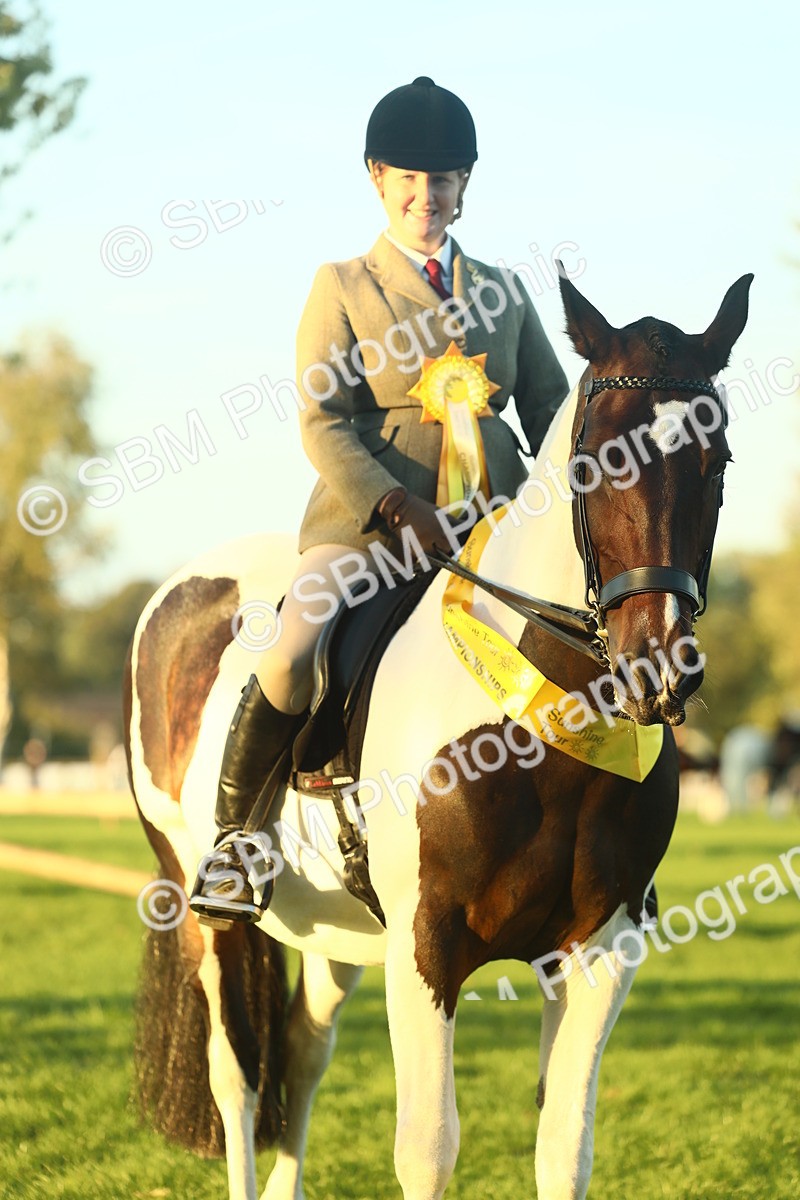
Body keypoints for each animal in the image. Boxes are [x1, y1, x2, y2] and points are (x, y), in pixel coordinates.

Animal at [125, 267, 752, 1200]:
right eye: (596, 463)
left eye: (717, 463)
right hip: (203, 901)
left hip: (339, 931)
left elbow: (565, 1148)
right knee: (236, 1075)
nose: (661, 671)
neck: (543, 733)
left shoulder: (600, 950)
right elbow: (427, 1148)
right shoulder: (427, 943)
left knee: (303, 1052)